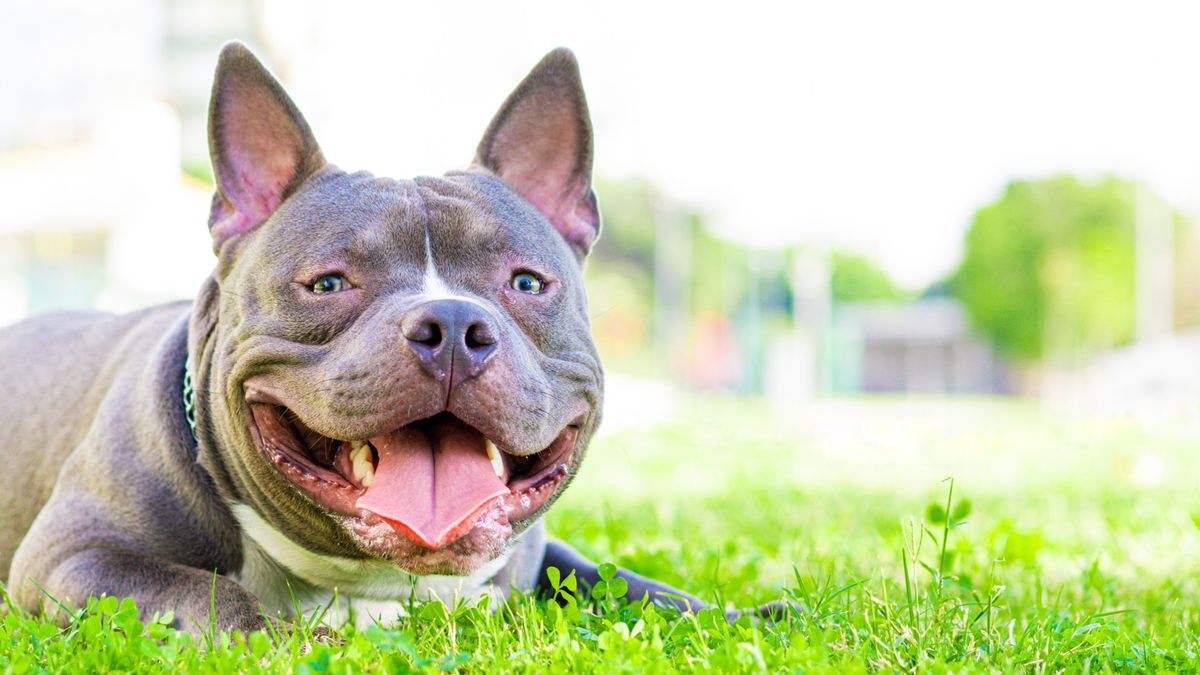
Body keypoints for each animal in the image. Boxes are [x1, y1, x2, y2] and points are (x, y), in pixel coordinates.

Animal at [0, 42, 777, 629]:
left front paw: (743, 614)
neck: (367, 579)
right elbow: (204, 591)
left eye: (527, 283)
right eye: (327, 284)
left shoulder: (546, 557)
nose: (454, 325)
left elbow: (624, 580)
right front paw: (278, 638)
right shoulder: (75, 555)